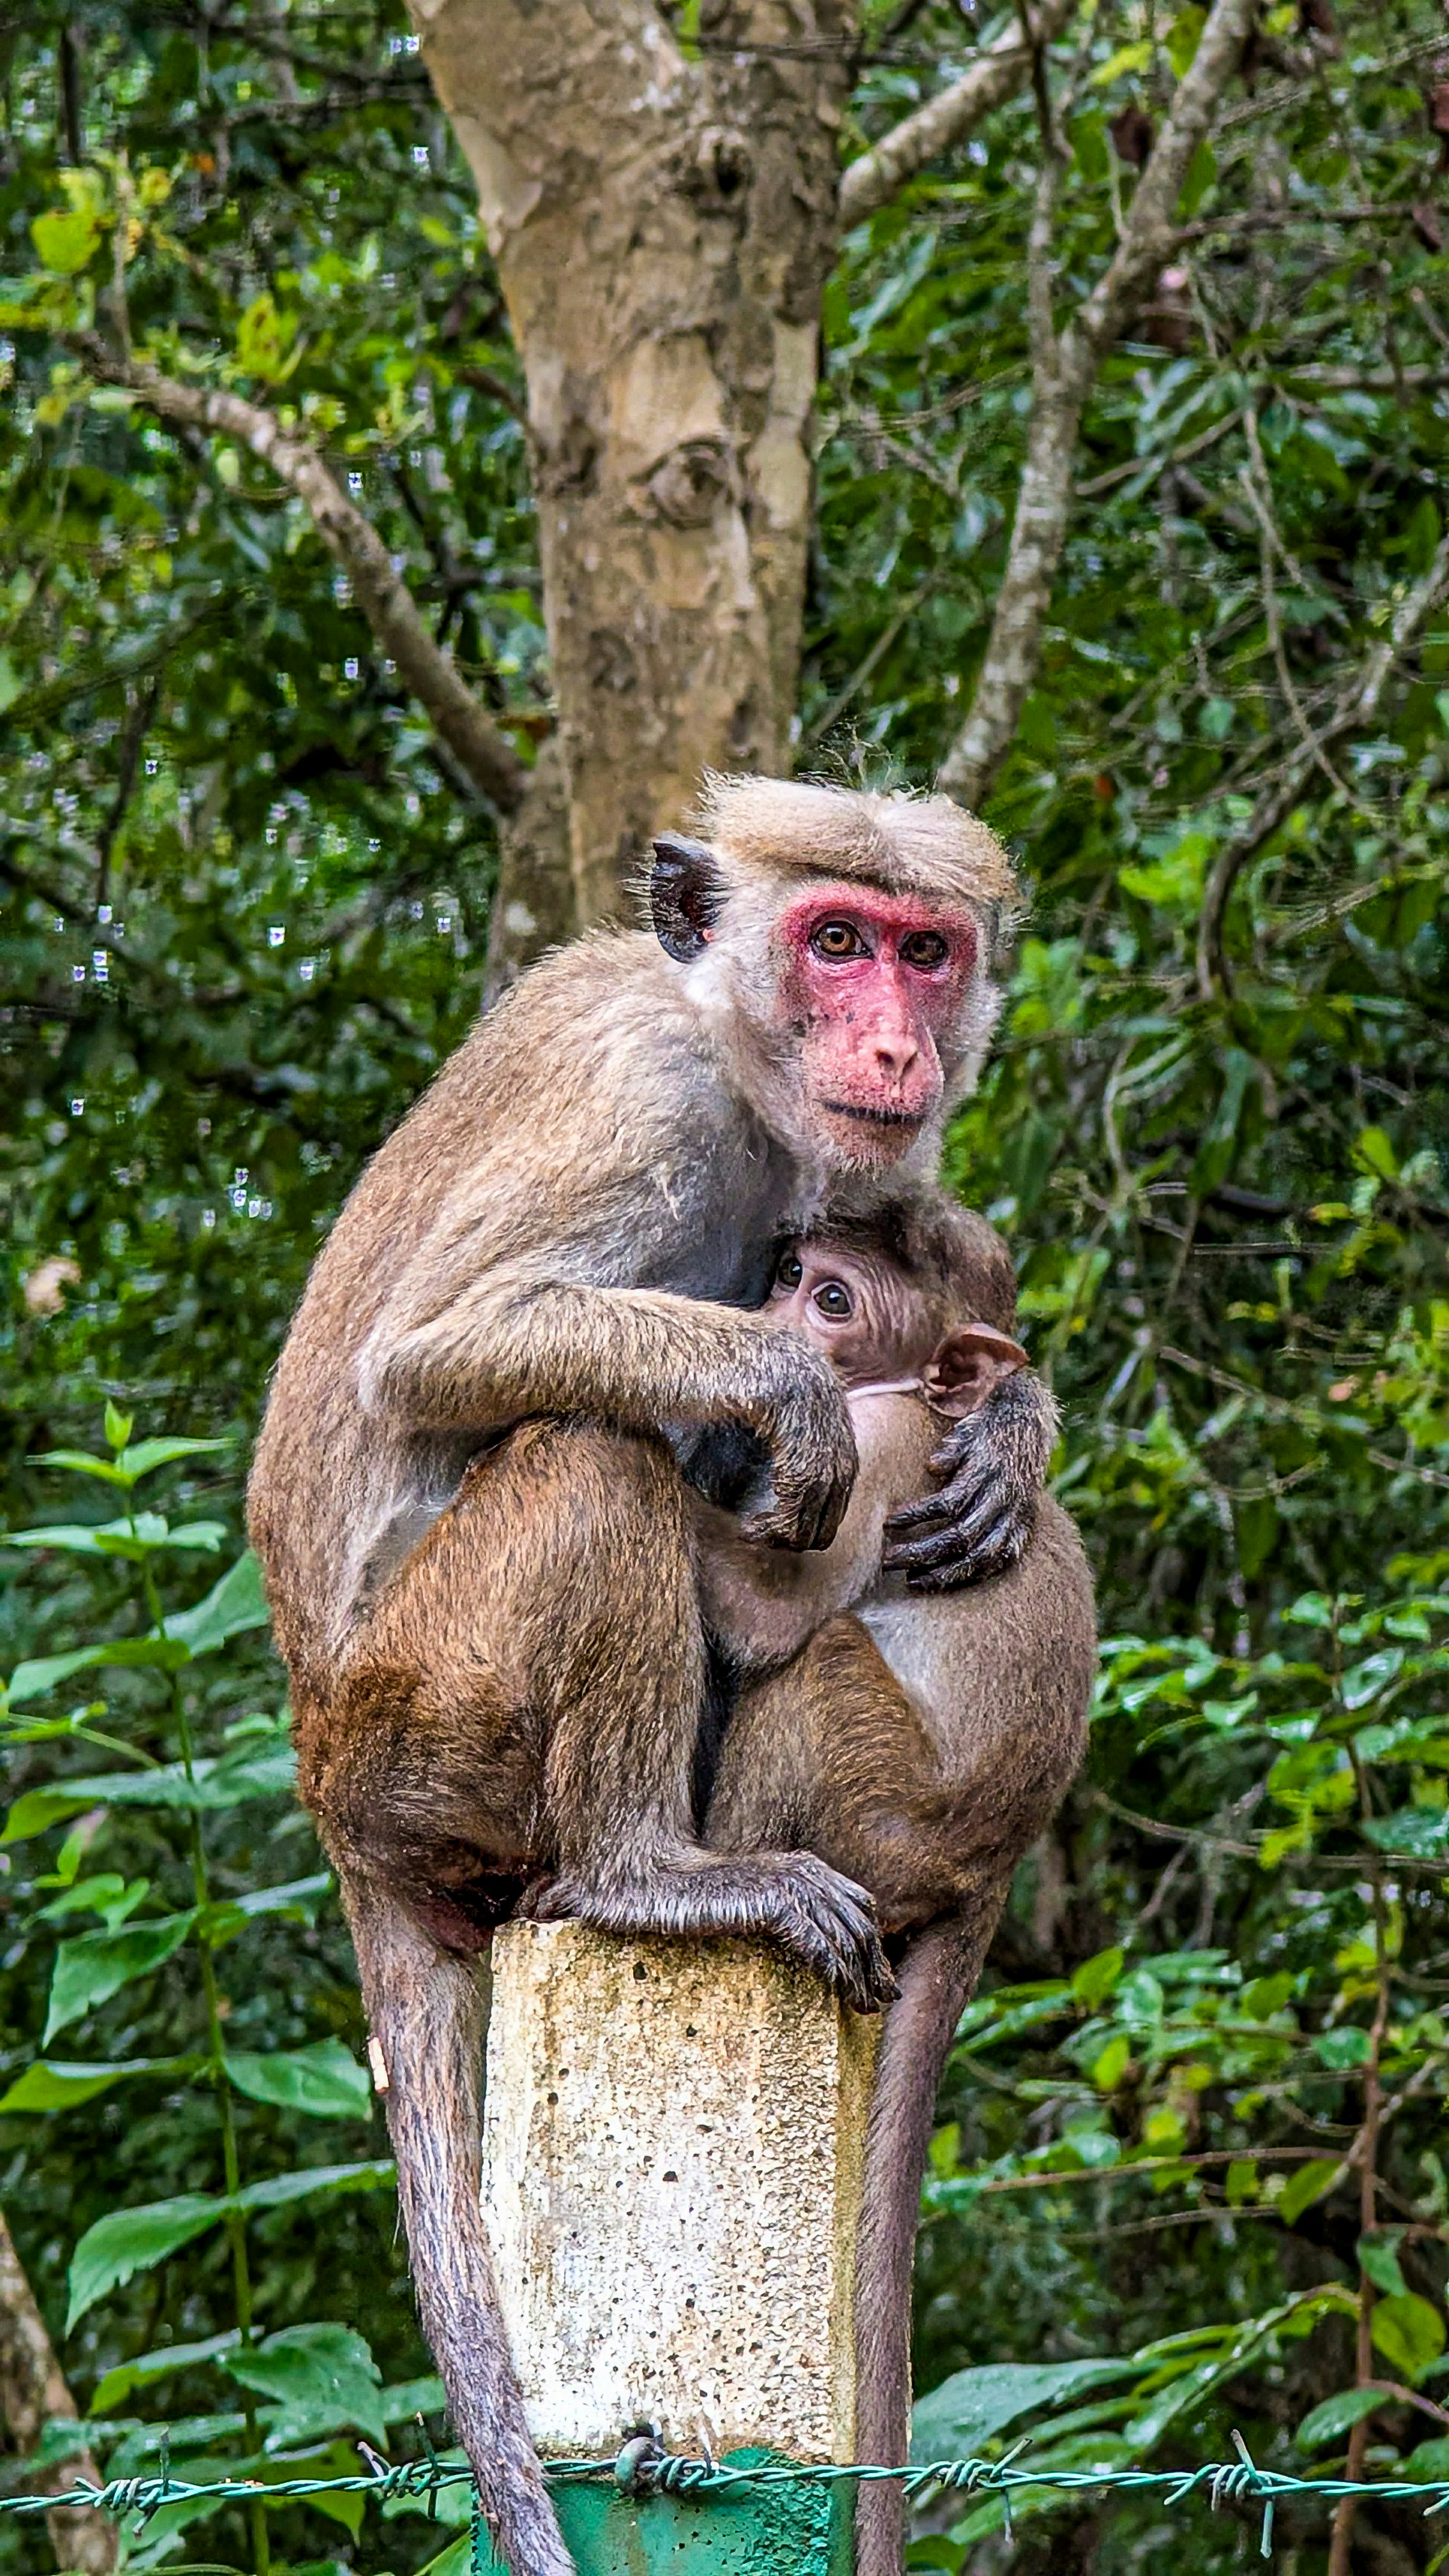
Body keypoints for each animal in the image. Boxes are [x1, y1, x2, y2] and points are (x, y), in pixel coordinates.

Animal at [247, 775, 1063, 2576]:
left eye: (922, 950)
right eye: (833, 941)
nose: (894, 1045)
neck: (742, 1071)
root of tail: (326, 1786)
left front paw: (1015, 1429)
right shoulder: (645, 1097)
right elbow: (434, 1353)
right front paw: (798, 1396)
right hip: (425, 1717)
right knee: (590, 1448)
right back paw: (648, 1873)